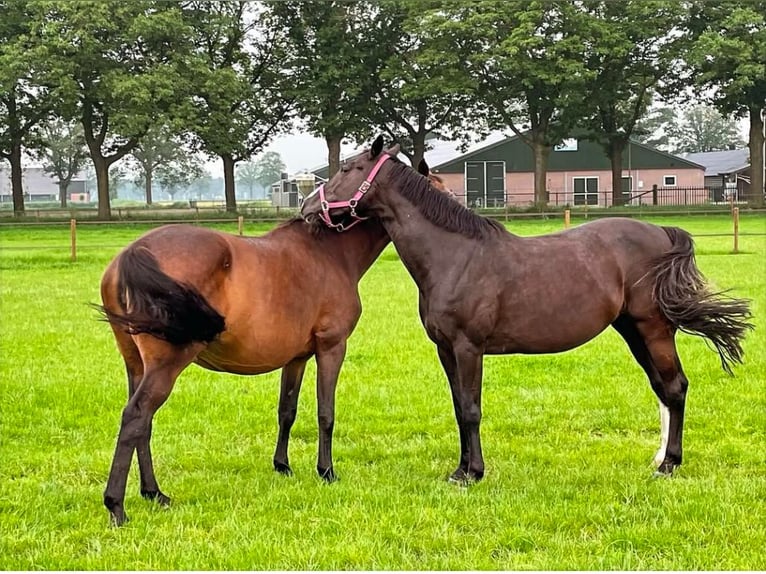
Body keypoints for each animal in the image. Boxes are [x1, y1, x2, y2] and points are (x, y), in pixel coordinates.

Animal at [100, 159, 452, 528]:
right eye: (437, 191)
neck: (330, 253)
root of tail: (132, 254)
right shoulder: (332, 347)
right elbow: (326, 412)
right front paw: (326, 470)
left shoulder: (296, 358)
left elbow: (287, 410)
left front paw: (282, 465)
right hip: (165, 366)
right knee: (136, 417)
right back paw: (117, 506)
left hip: (135, 365)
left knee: (142, 424)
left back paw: (153, 492)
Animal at [302, 138, 756, 486]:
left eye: (349, 167)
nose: (307, 207)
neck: (455, 255)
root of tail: (661, 232)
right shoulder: (446, 350)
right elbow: (458, 407)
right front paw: (459, 469)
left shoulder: (469, 347)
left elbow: (471, 409)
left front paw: (474, 473)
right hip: (632, 331)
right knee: (663, 388)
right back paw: (660, 459)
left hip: (653, 329)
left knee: (675, 388)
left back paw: (669, 464)